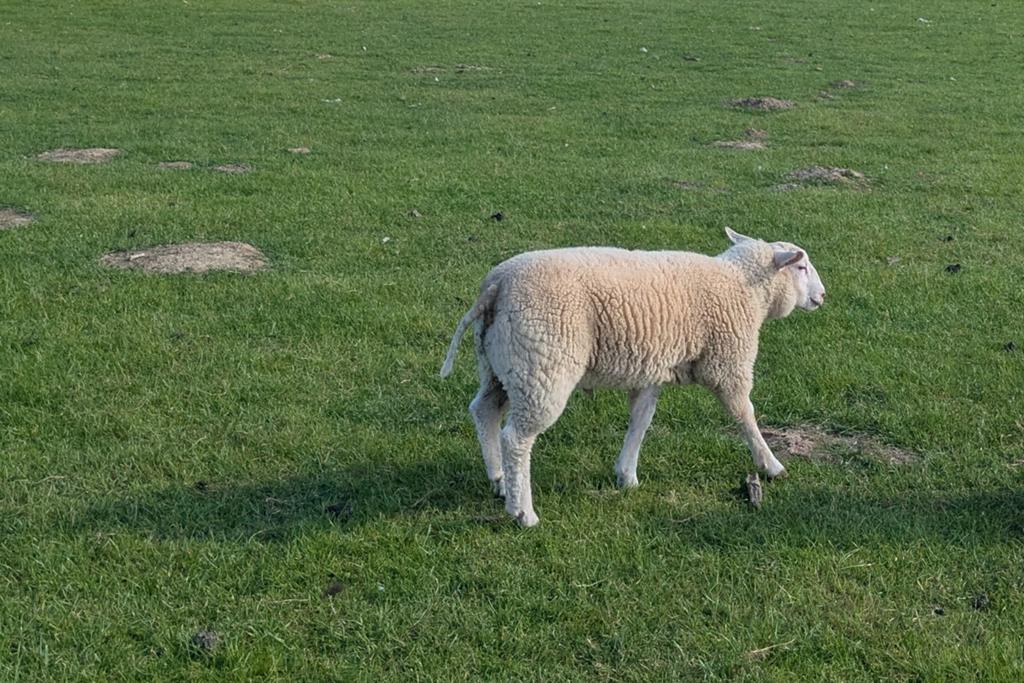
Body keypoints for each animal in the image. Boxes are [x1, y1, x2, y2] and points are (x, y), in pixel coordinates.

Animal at [440, 228, 826, 527]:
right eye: (802, 266)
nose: (822, 296)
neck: (743, 287)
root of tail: (496, 285)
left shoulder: (651, 370)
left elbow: (641, 420)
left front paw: (626, 474)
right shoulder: (727, 362)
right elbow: (744, 415)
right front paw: (771, 465)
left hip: (500, 364)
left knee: (484, 410)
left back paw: (499, 480)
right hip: (541, 366)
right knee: (516, 439)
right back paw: (523, 512)